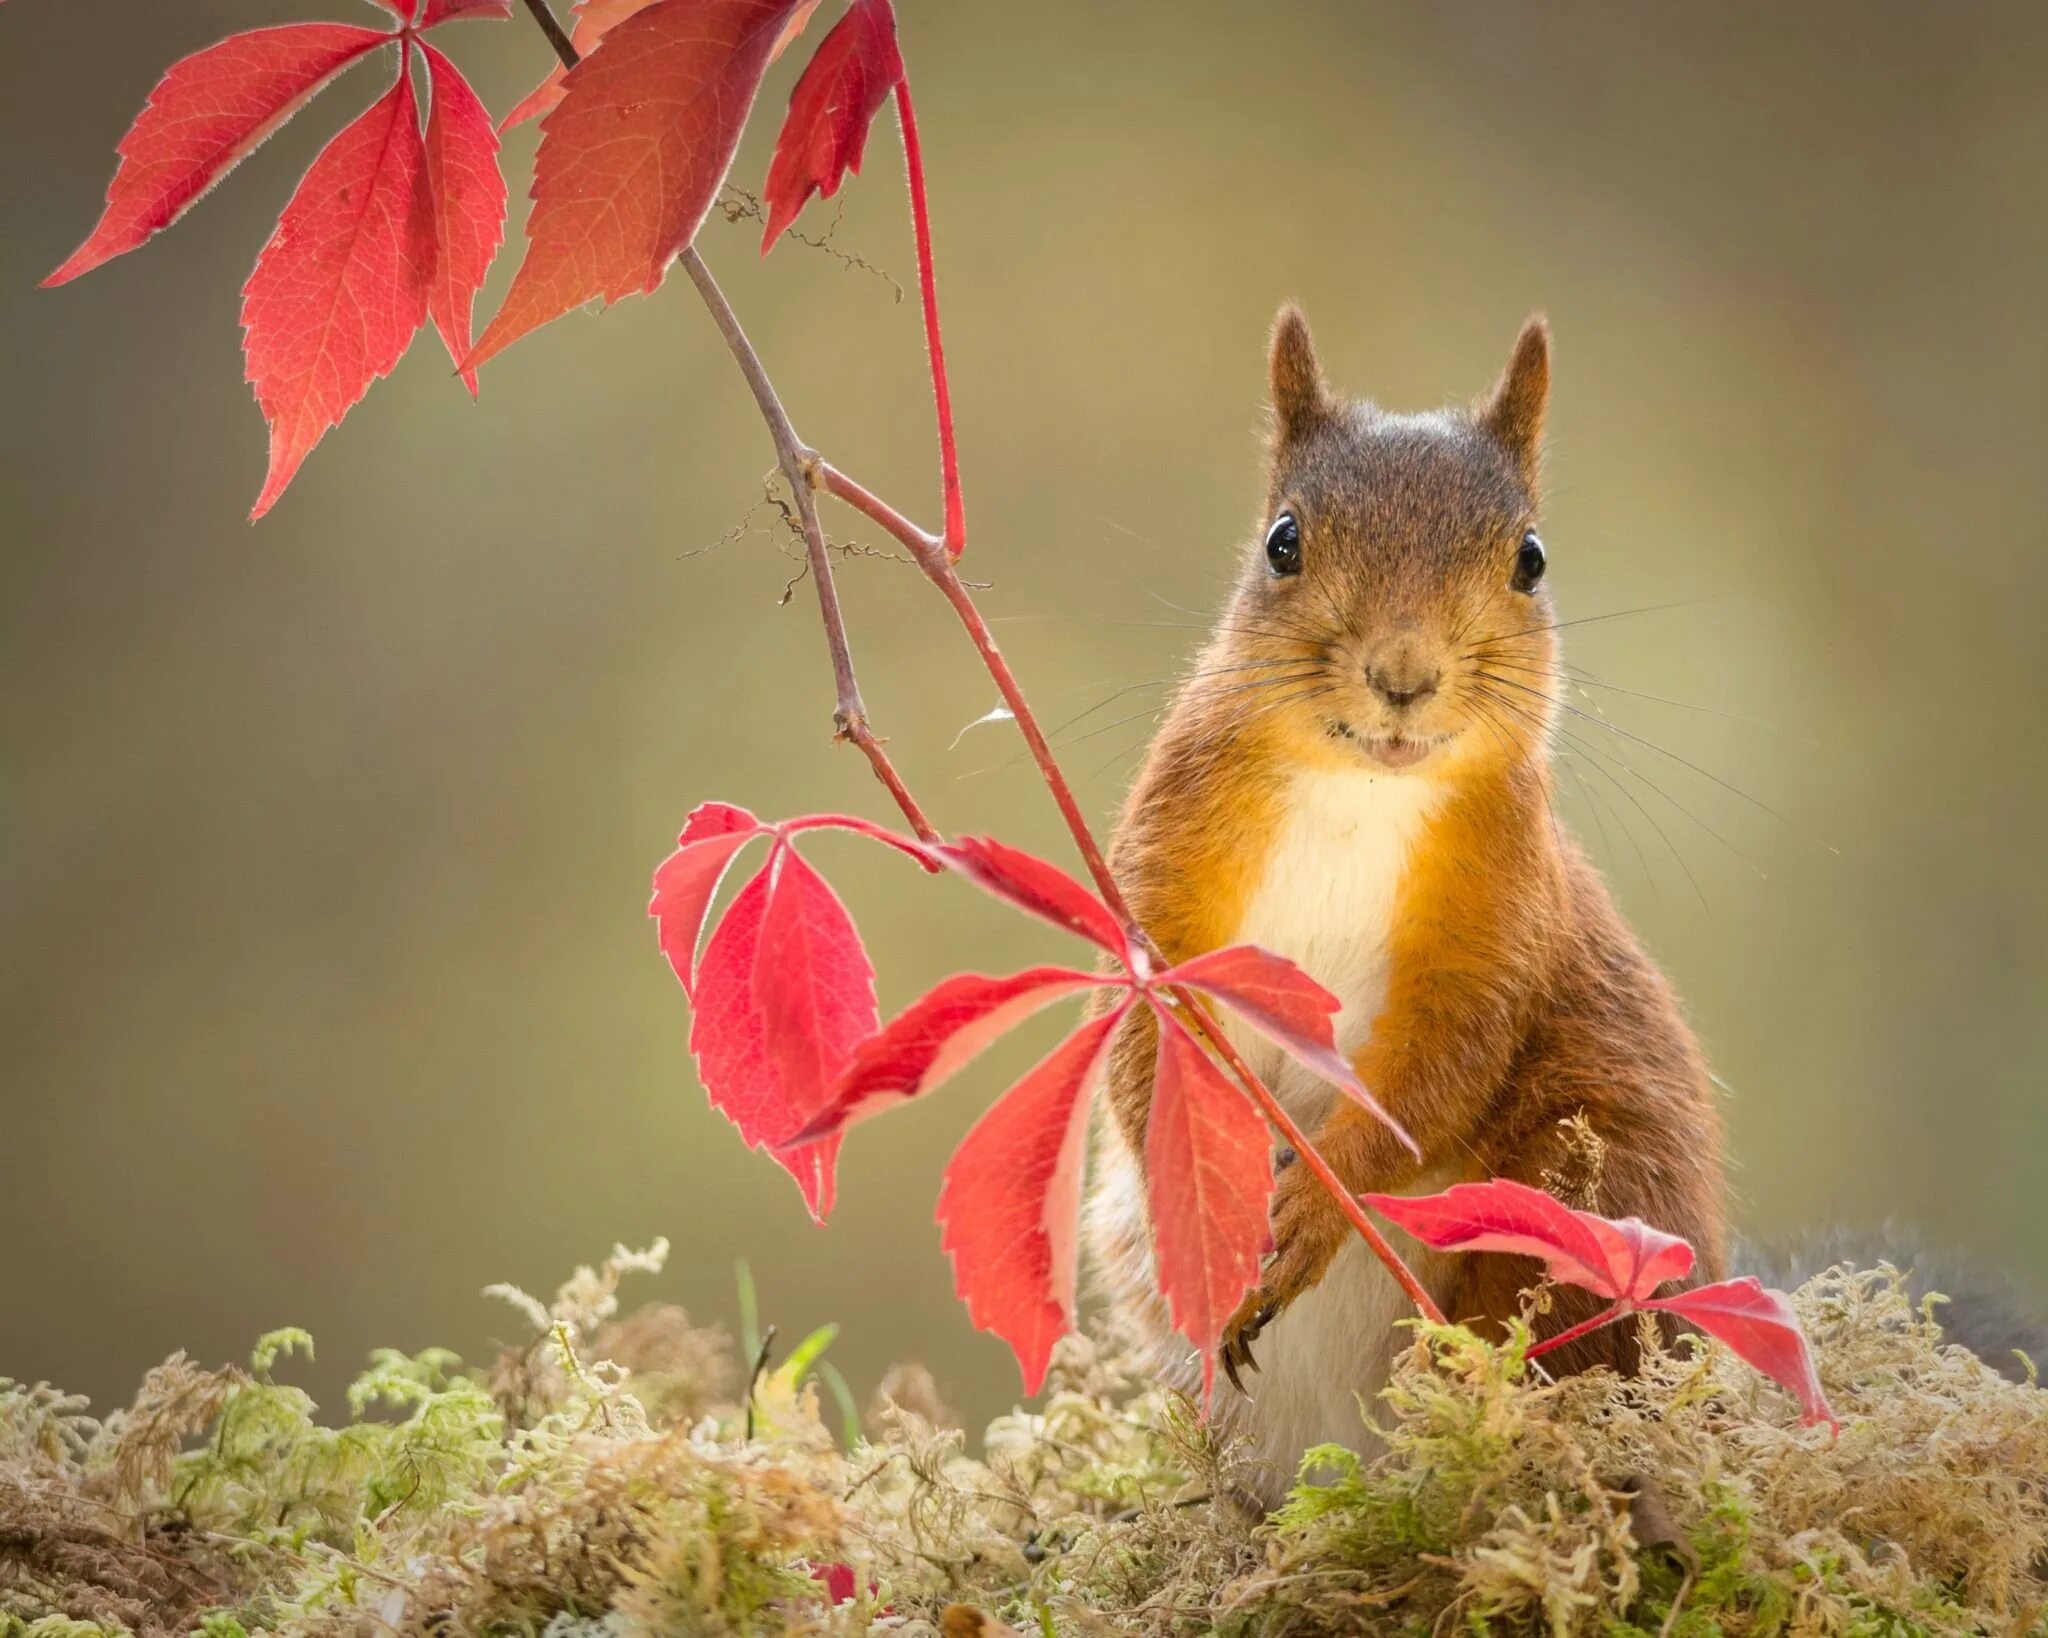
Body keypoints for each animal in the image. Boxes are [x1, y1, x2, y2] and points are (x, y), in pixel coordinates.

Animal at [1089, 307, 1728, 1498]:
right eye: (1282, 541)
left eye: (1529, 559)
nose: (1401, 674)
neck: (1360, 793)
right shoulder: (1163, 869)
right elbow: (1143, 1038)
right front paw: (1191, 1174)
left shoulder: (1496, 915)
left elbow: (1440, 1064)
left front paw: (1312, 1207)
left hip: (1584, 1204)